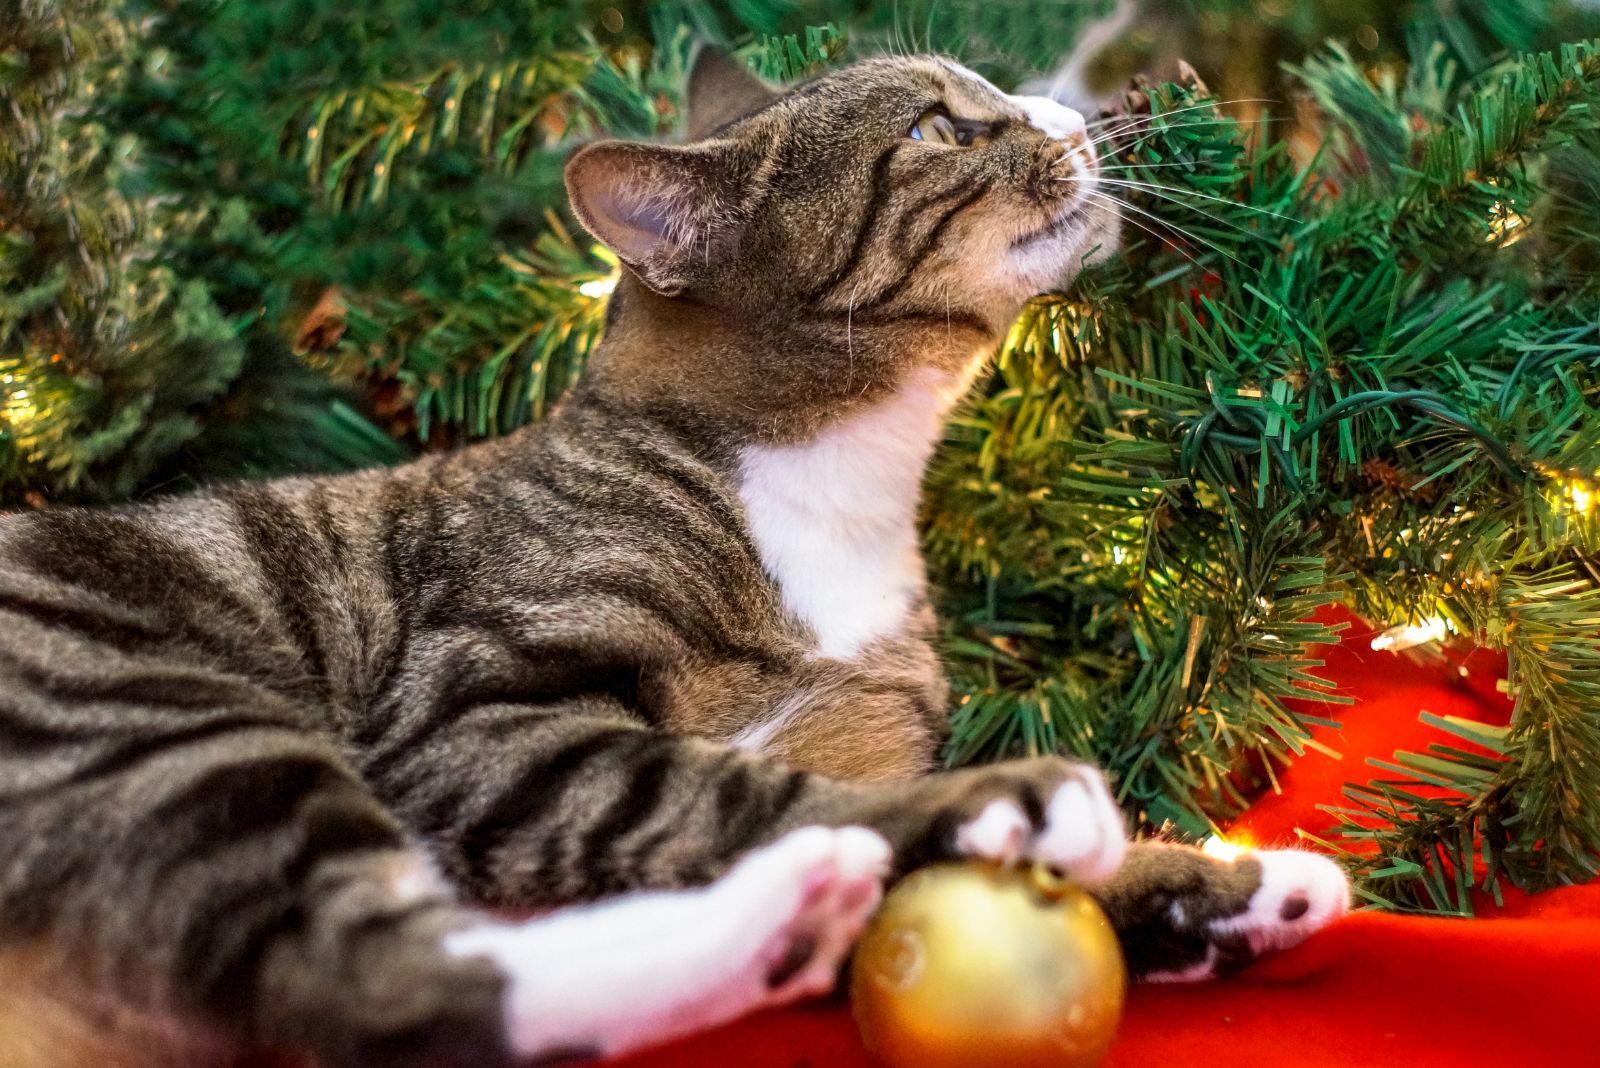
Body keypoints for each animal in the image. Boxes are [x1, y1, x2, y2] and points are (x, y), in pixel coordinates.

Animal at [0, 47, 1350, 1068]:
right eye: (933, 127)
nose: (1079, 112)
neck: (839, 497)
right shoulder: (467, 714)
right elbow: (726, 791)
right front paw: (1007, 813)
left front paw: (1208, 890)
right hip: (155, 709)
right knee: (376, 986)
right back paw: (789, 908)